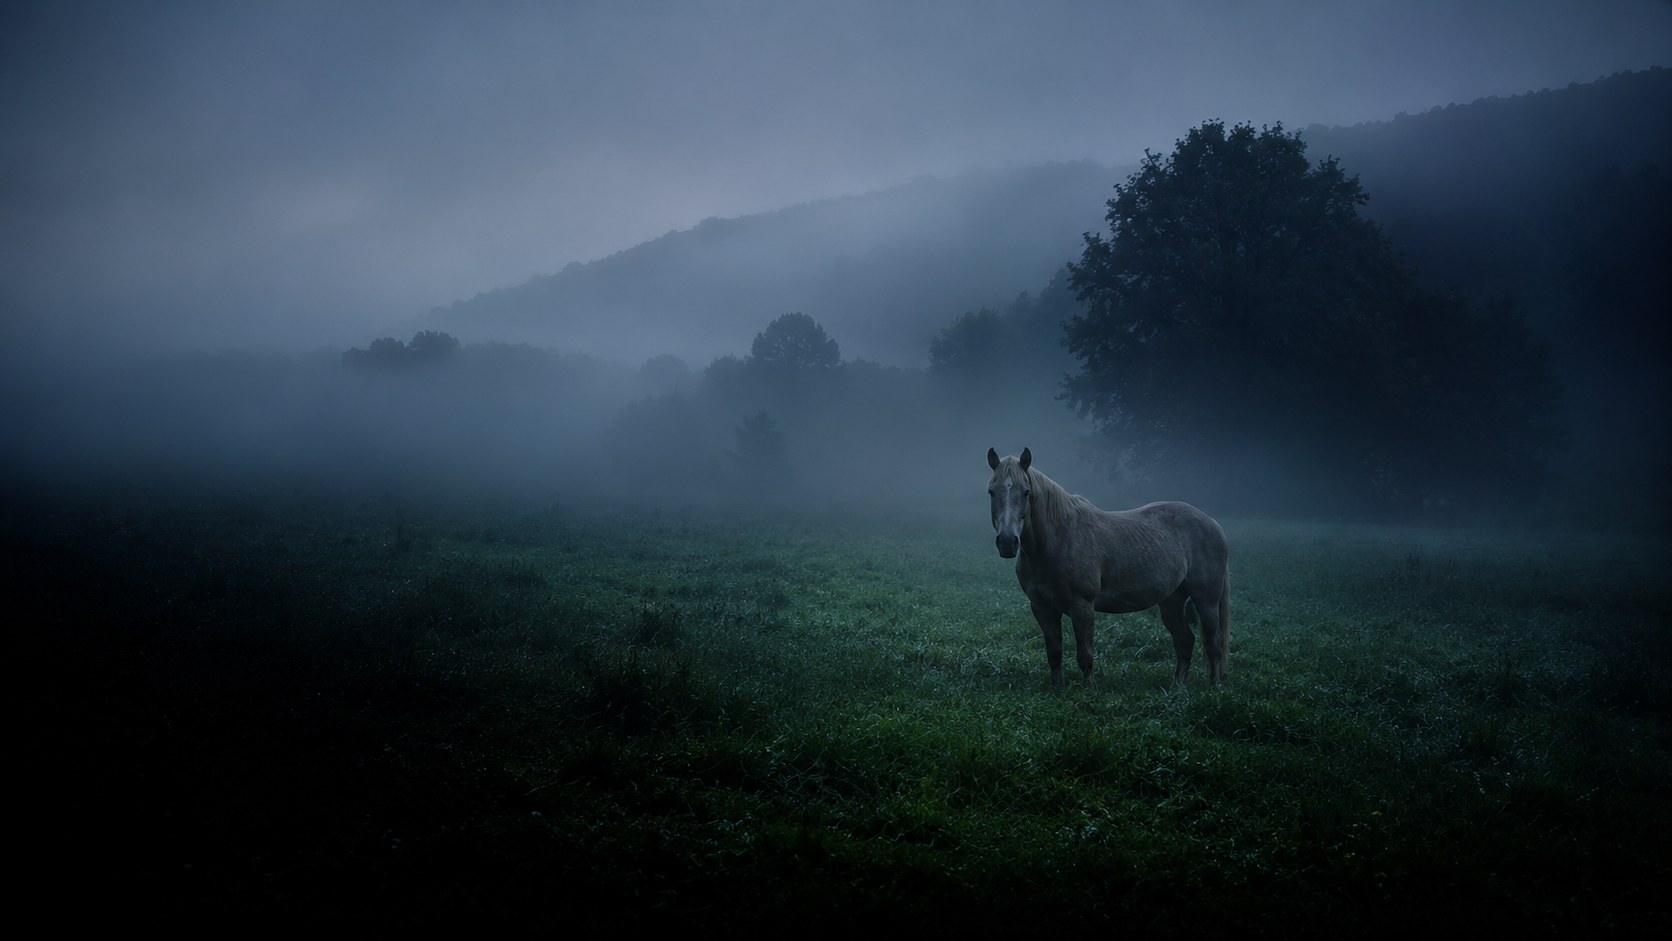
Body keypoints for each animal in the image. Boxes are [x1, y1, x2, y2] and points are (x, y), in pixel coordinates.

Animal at [987, 447, 1230, 688]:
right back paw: (1178, 689)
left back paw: (1214, 687)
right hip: (1172, 600)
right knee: (1184, 641)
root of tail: (1213, 523)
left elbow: (1085, 655)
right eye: (991, 492)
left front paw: (1090, 692)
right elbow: (1054, 654)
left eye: (1026, 492)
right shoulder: (1042, 608)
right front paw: (1058, 690)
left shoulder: (1082, 606)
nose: (1007, 542)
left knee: (1213, 641)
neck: (1058, 538)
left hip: (1206, 600)